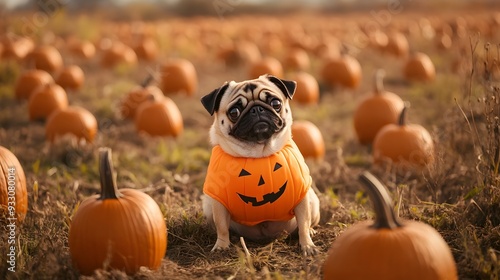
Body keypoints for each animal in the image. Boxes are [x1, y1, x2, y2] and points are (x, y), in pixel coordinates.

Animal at [200, 73, 320, 255]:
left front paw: (307, 245)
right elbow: (221, 226)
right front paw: (221, 246)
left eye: (276, 103)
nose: (256, 109)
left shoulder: (302, 197)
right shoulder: (218, 203)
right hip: (207, 205)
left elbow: (304, 223)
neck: (259, 153)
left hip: (313, 200)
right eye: (234, 112)